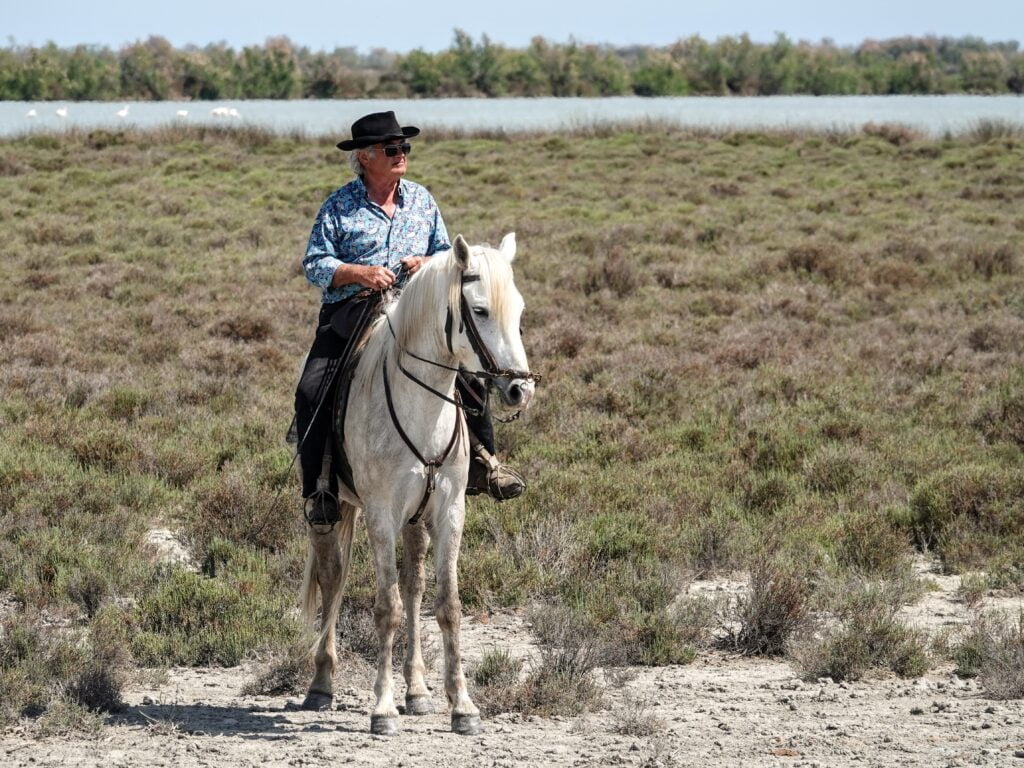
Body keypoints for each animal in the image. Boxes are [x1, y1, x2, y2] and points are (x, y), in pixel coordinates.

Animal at [296, 234, 536, 741]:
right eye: (479, 310)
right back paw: (322, 683)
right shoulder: (381, 513)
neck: (422, 405)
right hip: (331, 509)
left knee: (414, 587)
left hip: (415, 519)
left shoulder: (448, 511)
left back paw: (419, 691)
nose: (519, 391)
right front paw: (382, 709)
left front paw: (462, 706)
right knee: (333, 579)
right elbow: (385, 608)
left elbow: (447, 605)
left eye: (520, 310)